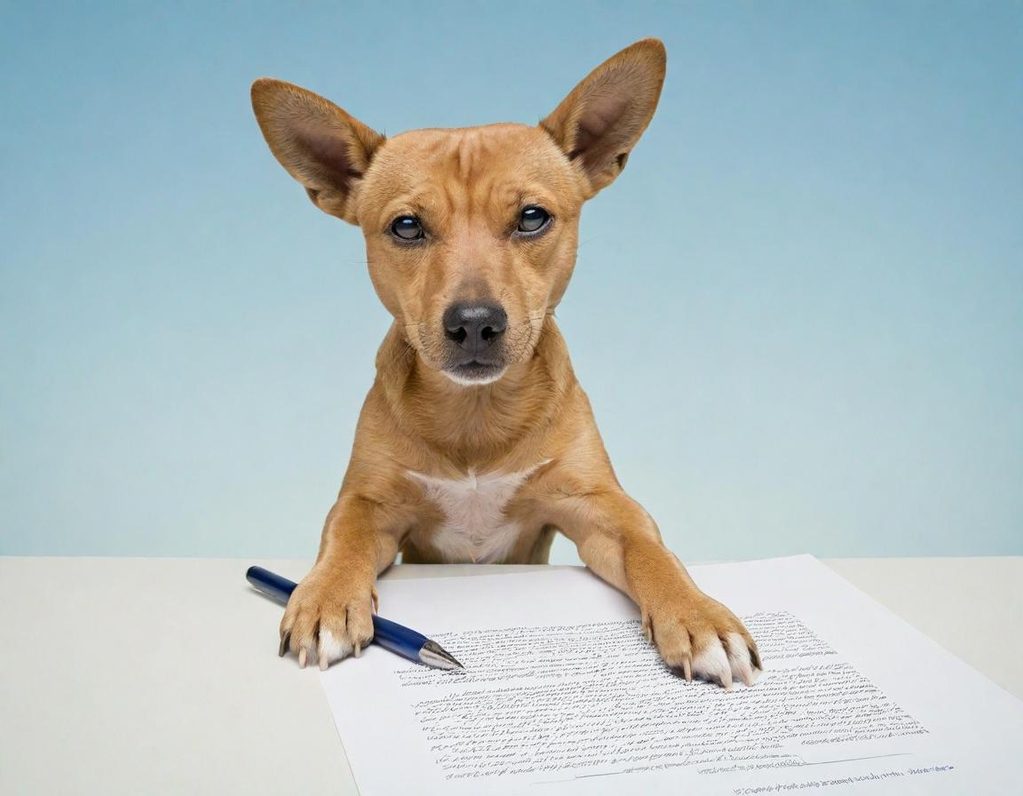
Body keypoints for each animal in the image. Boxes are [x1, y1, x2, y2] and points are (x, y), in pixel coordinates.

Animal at [251, 38, 761, 688]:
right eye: (407, 226)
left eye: (532, 217)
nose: (473, 322)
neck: (476, 414)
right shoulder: (369, 503)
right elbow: (342, 538)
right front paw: (323, 597)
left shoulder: (599, 507)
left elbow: (653, 549)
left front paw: (697, 615)